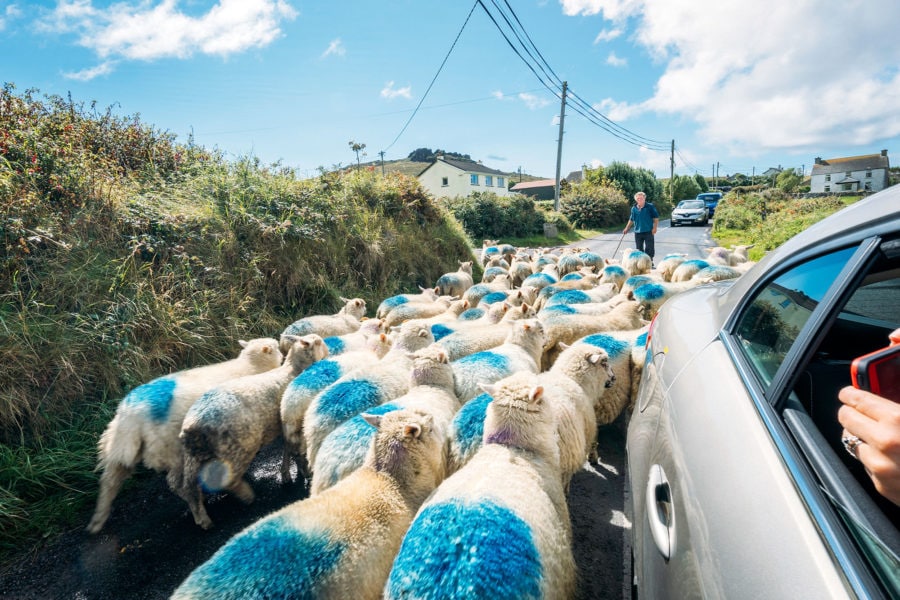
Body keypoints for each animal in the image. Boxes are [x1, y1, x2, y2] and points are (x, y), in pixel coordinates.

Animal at [85, 338, 283, 534]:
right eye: (277, 348)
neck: (250, 365)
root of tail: (132, 416)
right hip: (173, 449)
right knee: (177, 483)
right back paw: (202, 512)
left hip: (119, 445)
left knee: (109, 481)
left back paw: (97, 521)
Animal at [178, 334, 329, 529]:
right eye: (318, 343)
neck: (293, 369)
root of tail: (192, 425)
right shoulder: (290, 425)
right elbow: (291, 450)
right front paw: (297, 472)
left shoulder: (285, 427)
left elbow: (288, 450)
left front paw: (286, 473)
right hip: (238, 448)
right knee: (229, 480)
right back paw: (247, 495)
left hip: (192, 456)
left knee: (188, 487)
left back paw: (202, 518)